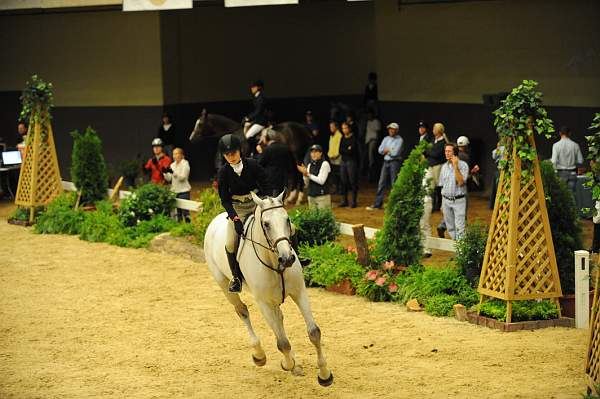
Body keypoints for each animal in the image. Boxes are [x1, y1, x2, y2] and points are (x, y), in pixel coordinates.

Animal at [202, 192, 332, 386]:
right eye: (266, 224)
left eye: (287, 220)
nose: (287, 258)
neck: (275, 262)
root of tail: (214, 220)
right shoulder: (263, 302)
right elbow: (282, 343)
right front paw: (288, 364)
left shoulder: (299, 292)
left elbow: (314, 332)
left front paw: (324, 375)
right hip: (224, 285)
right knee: (242, 311)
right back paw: (259, 355)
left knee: (279, 318)